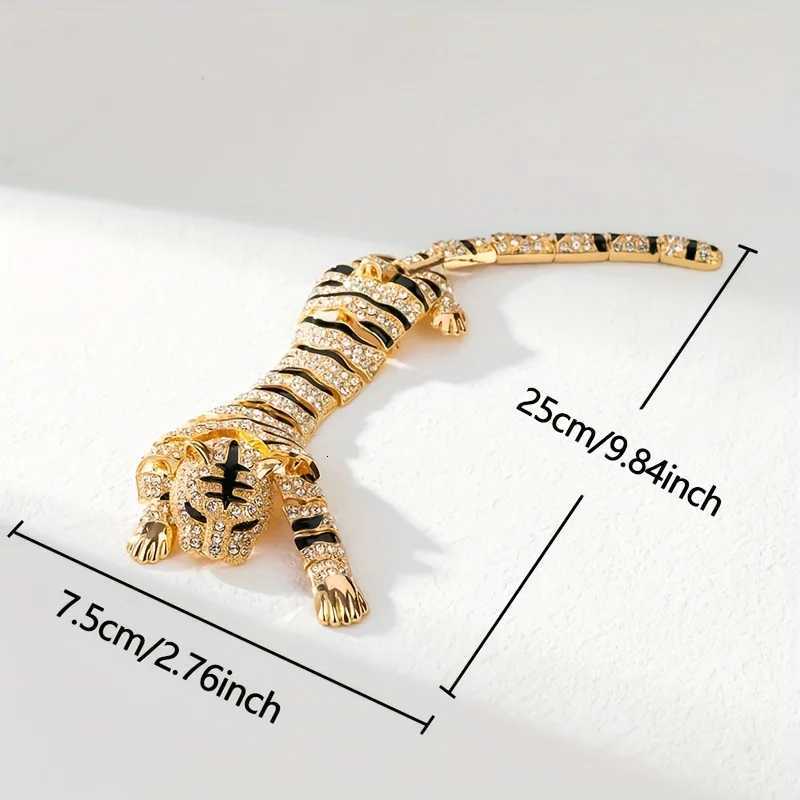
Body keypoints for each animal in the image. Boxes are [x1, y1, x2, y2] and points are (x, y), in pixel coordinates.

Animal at [127, 231, 722, 627]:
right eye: (195, 515)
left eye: (248, 526)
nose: (211, 557)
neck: (243, 432)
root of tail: (388, 264)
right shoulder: (169, 444)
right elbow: (151, 482)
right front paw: (151, 534)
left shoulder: (298, 479)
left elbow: (317, 534)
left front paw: (338, 594)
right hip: (328, 285)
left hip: (416, 293)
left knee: (443, 284)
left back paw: (451, 318)